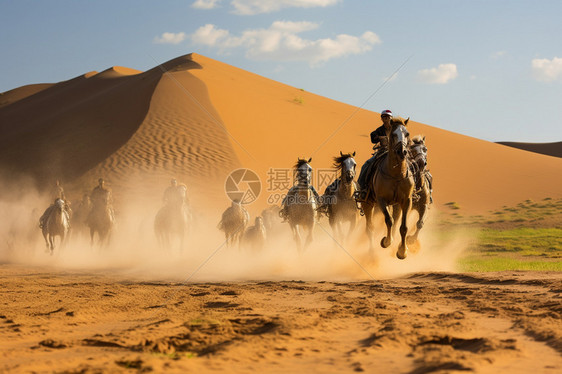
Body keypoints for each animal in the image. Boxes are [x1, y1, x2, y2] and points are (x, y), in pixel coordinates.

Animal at [360, 118, 414, 258]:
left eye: (407, 134)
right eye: (393, 134)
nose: (402, 152)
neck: (396, 174)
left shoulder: (406, 201)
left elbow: (403, 227)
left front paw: (402, 251)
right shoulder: (381, 200)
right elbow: (389, 220)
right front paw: (386, 242)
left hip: (395, 205)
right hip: (368, 204)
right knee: (370, 228)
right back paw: (372, 254)